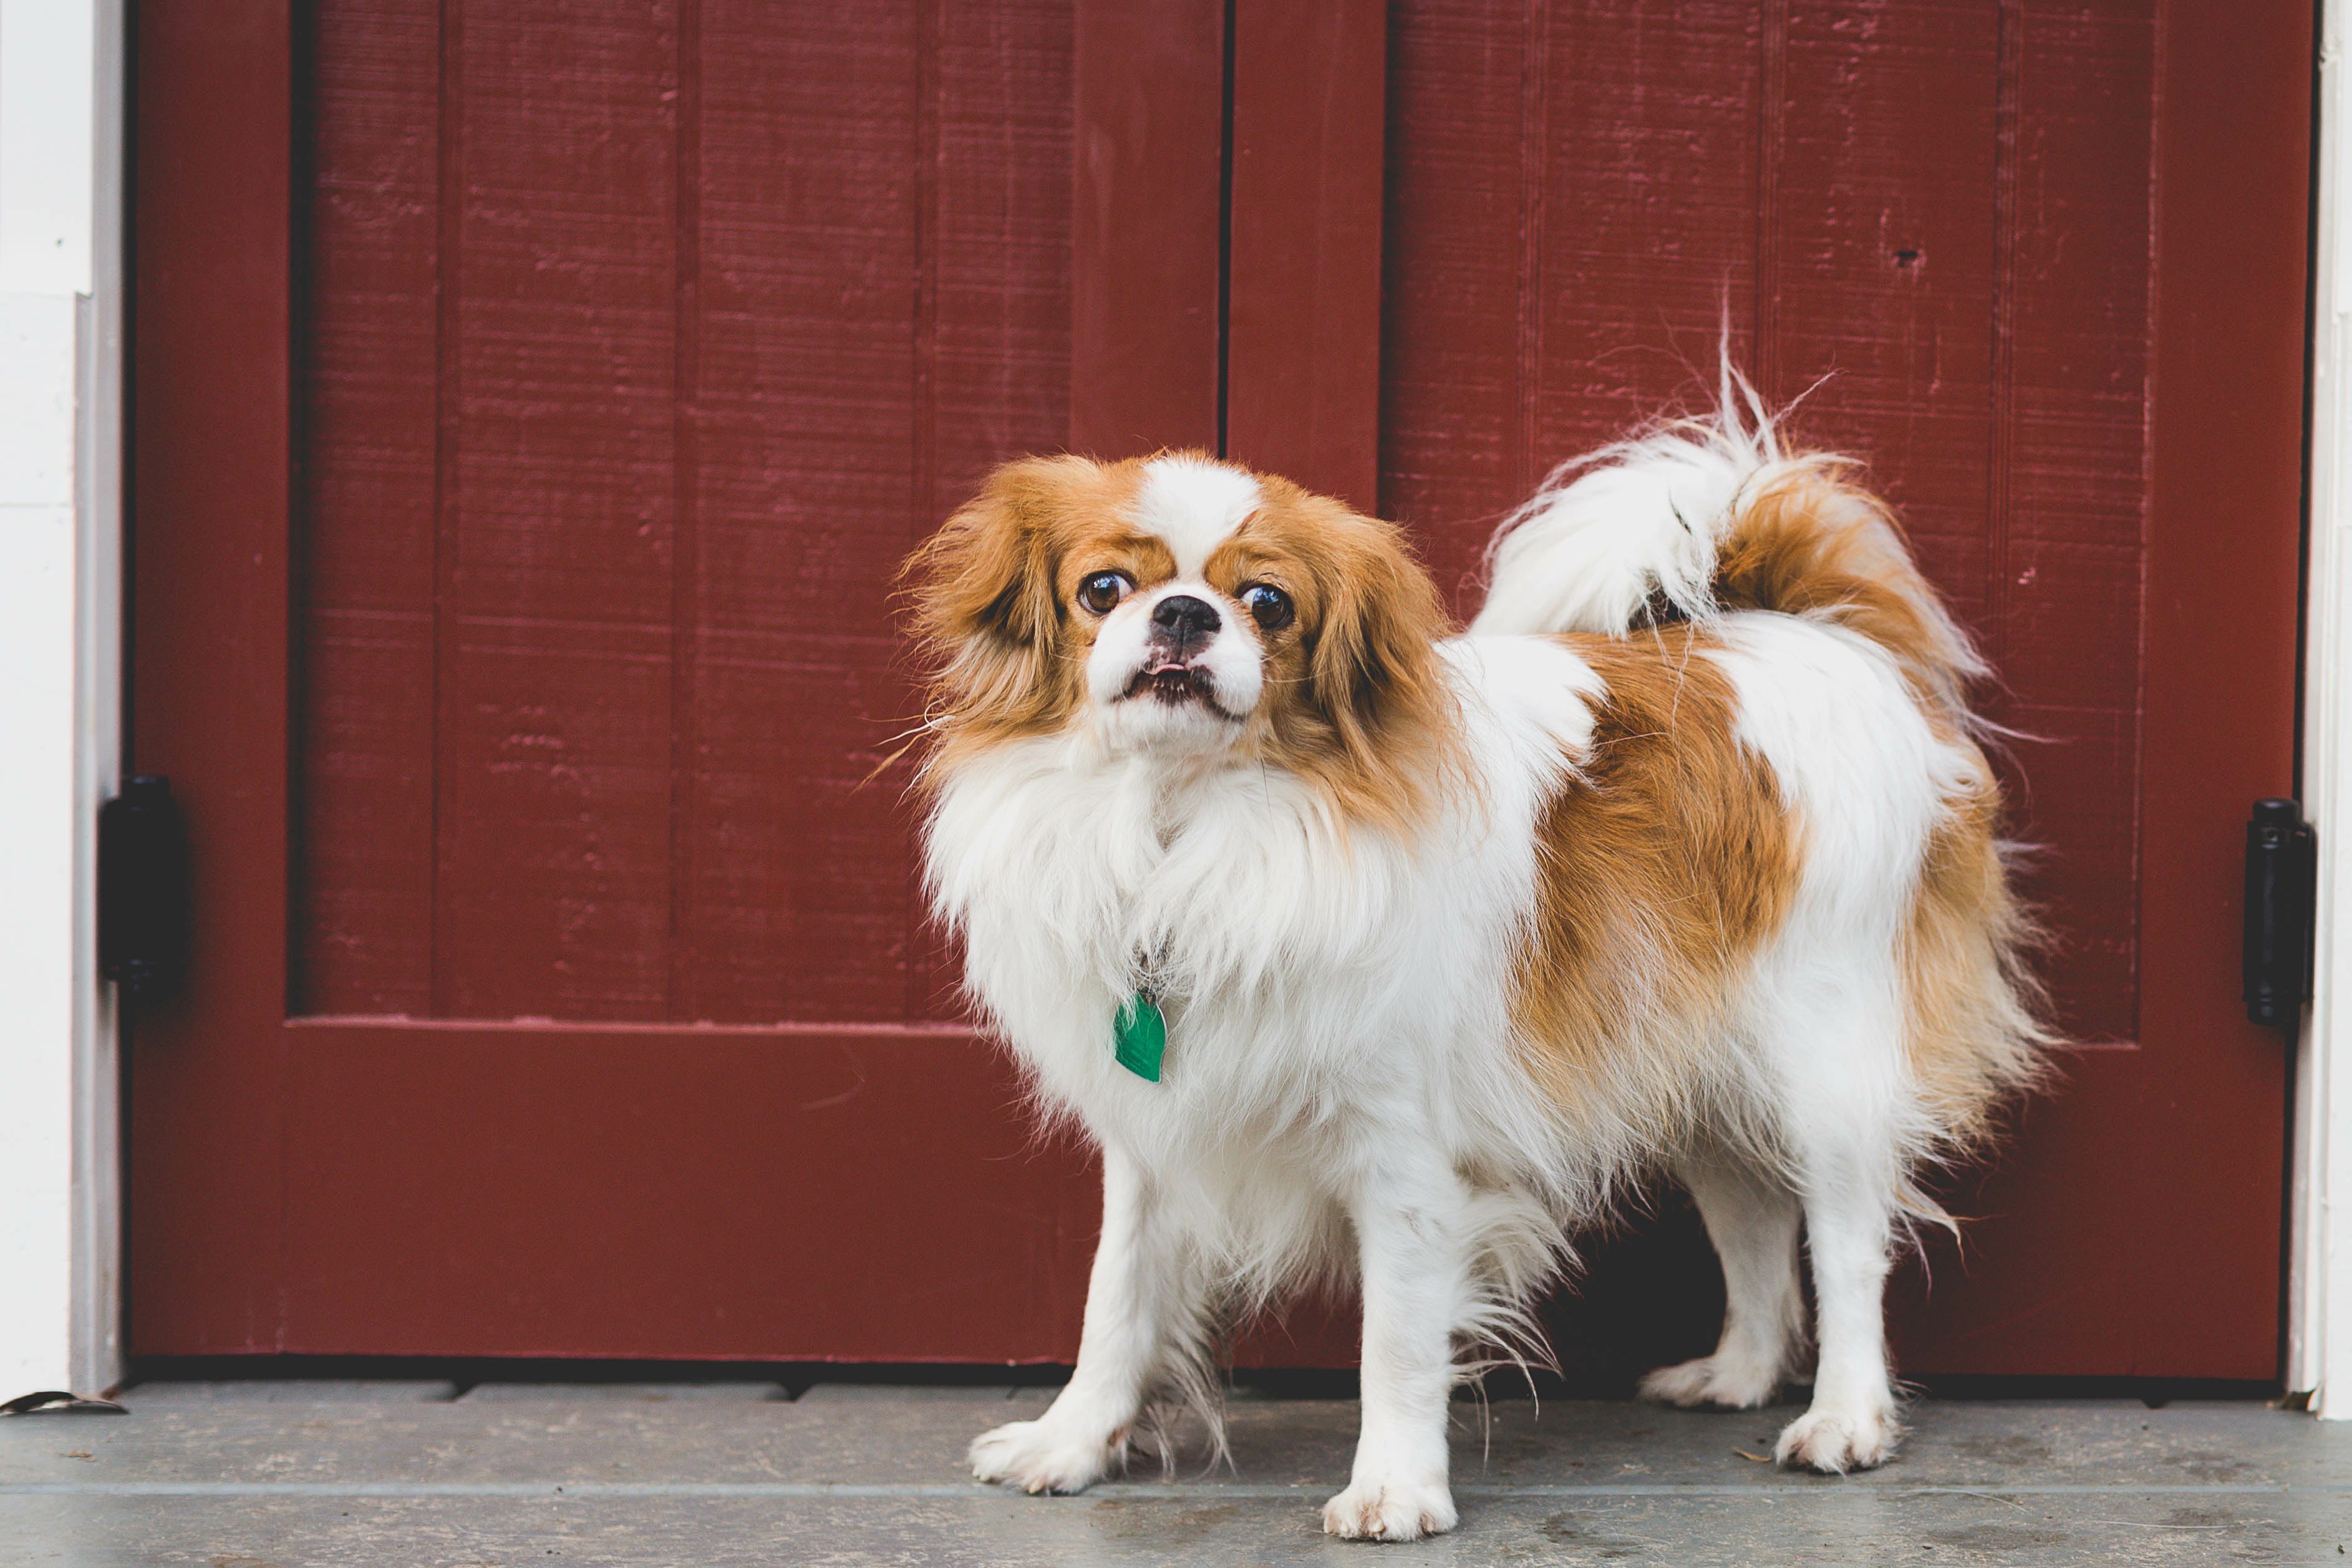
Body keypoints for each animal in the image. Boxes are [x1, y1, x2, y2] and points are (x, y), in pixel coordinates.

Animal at [907, 383, 2051, 1542]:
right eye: (1103, 588)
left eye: (1269, 603)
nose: (1184, 613)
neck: (1185, 828)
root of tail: (1824, 639)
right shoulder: (1155, 1140)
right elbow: (1117, 1298)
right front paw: (1071, 1442)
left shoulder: (1404, 1157)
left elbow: (1395, 1339)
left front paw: (1394, 1487)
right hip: (1700, 1073)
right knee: (1756, 1225)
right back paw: (1736, 1373)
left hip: (1826, 1066)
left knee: (1846, 1243)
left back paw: (1845, 1418)